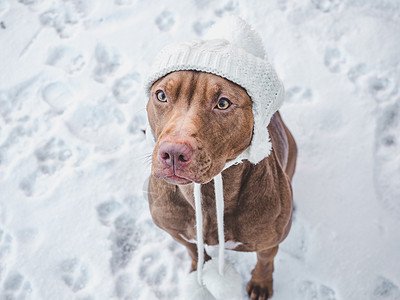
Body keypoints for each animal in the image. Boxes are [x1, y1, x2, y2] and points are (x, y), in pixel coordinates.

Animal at [147, 71, 296, 300]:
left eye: (223, 103)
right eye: (161, 95)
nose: (173, 152)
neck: (208, 194)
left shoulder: (269, 242)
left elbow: (265, 262)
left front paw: (261, 283)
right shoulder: (177, 232)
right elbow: (195, 251)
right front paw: (198, 273)